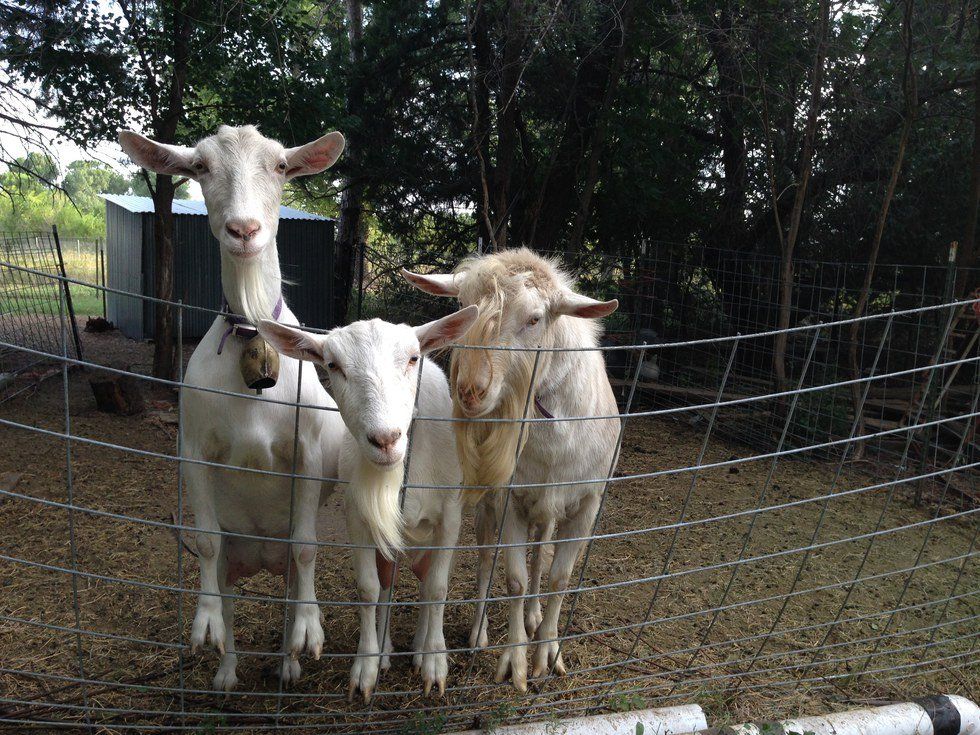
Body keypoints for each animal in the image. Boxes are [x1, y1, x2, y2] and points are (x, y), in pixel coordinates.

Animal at [119, 125, 346, 690]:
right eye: (199, 167)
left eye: (281, 167)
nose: (243, 229)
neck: (251, 331)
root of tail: (260, 557)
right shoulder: (195, 448)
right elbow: (203, 542)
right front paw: (205, 630)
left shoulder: (308, 451)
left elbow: (308, 547)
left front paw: (310, 634)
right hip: (235, 555)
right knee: (228, 588)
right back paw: (226, 671)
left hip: (282, 553)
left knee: (290, 583)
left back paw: (289, 661)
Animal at [258, 305, 479, 703]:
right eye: (332, 365)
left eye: (412, 358)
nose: (386, 439)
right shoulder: (359, 517)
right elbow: (369, 588)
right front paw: (366, 668)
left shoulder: (451, 517)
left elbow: (437, 588)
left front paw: (435, 663)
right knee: (389, 582)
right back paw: (387, 649)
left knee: (425, 582)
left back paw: (421, 648)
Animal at [403, 248, 620, 692]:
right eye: (463, 308)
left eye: (535, 319)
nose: (470, 390)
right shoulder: (508, 499)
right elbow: (514, 580)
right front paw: (515, 663)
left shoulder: (589, 501)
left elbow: (559, 577)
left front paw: (548, 654)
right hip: (490, 503)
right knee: (488, 556)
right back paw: (479, 632)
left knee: (542, 553)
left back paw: (535, 616)